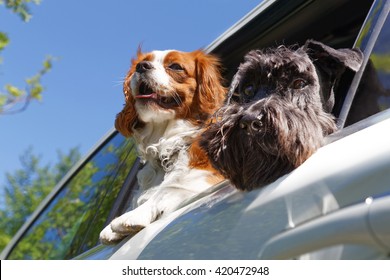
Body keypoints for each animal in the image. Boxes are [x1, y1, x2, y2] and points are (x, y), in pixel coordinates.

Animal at [100, 48, 225, 243]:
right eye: (142, 62)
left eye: (175, 66)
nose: (142, 66)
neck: (166, 142)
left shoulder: (208, 177)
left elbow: (168, 188)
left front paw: (131, 216)